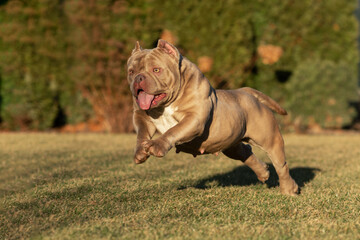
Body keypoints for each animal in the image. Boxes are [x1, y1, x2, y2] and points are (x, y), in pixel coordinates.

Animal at [126, 39, 298, 196]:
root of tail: (246, 92)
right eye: (131, 72)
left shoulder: (194, 119)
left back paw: (289, 190)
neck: (165, 105)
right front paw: (140, 152)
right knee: (245, 152)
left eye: (156, 70)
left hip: (270, 140)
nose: (139, 78)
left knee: (281, 166)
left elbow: (173, 130)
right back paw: (263, 172)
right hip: (231, 143)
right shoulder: (141, 117)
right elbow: (142, 134)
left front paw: (157, 145)